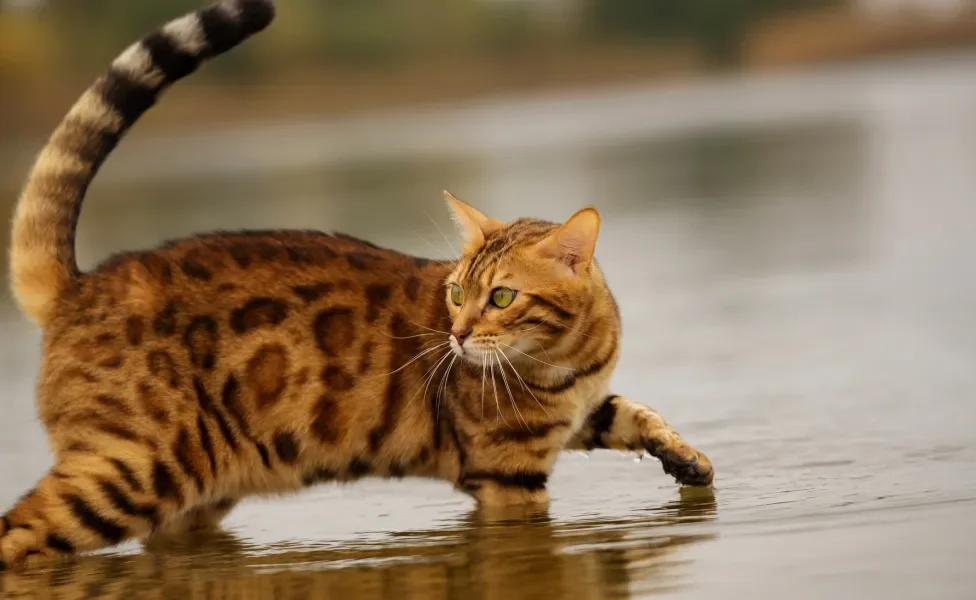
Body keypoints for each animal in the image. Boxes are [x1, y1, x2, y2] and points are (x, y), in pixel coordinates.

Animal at [1, 0, 716, 572]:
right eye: (459, 293)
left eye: (500, 296)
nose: (457, 335)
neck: (569, 357)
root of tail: (79, 284)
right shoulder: (507, 474)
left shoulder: (582, 410)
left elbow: (636, 412)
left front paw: (686, 461)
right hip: (131, 471)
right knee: (17, 531)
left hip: (193, 494)